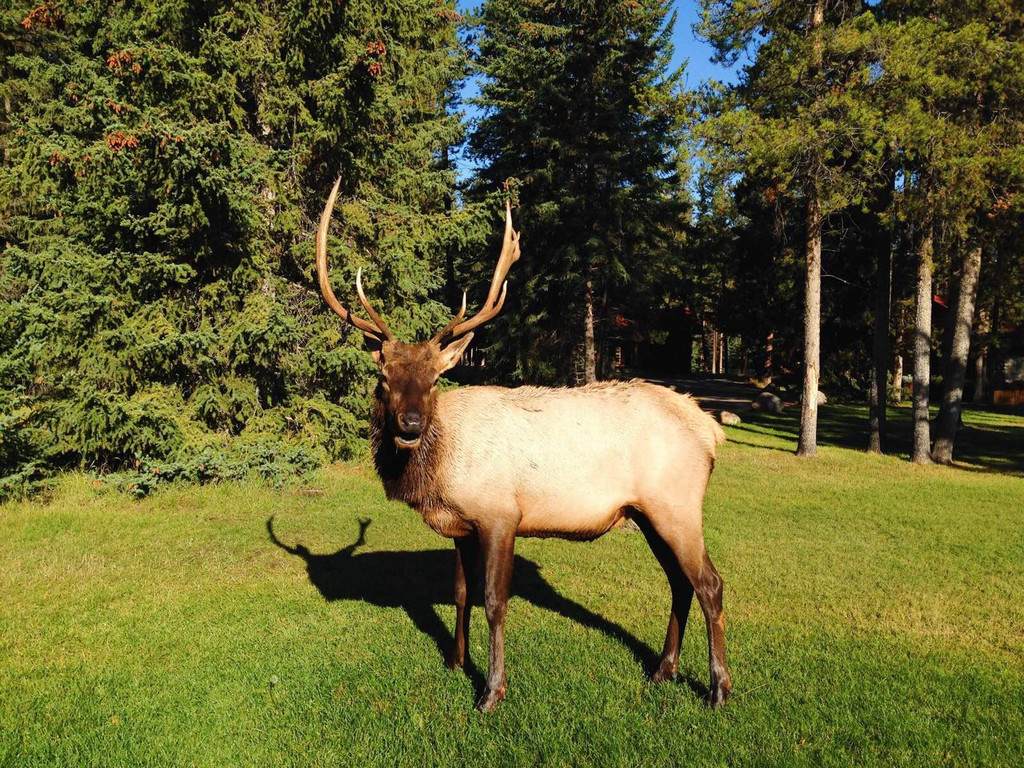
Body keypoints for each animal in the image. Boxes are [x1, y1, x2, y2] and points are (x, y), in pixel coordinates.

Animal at [315, 177, 733, 712]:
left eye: (434, 380)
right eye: (384, 377)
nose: (409, 424)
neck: (439, 474)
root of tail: (710, 429)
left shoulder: (500, 513)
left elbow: (494, 601)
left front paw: (491, 691)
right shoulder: (463, 525)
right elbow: (460, 593)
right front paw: (456, 662)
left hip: (676, 504)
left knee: (709, 584)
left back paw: (718, 688)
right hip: (646, 512)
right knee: (680, 583)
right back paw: (663, 670)